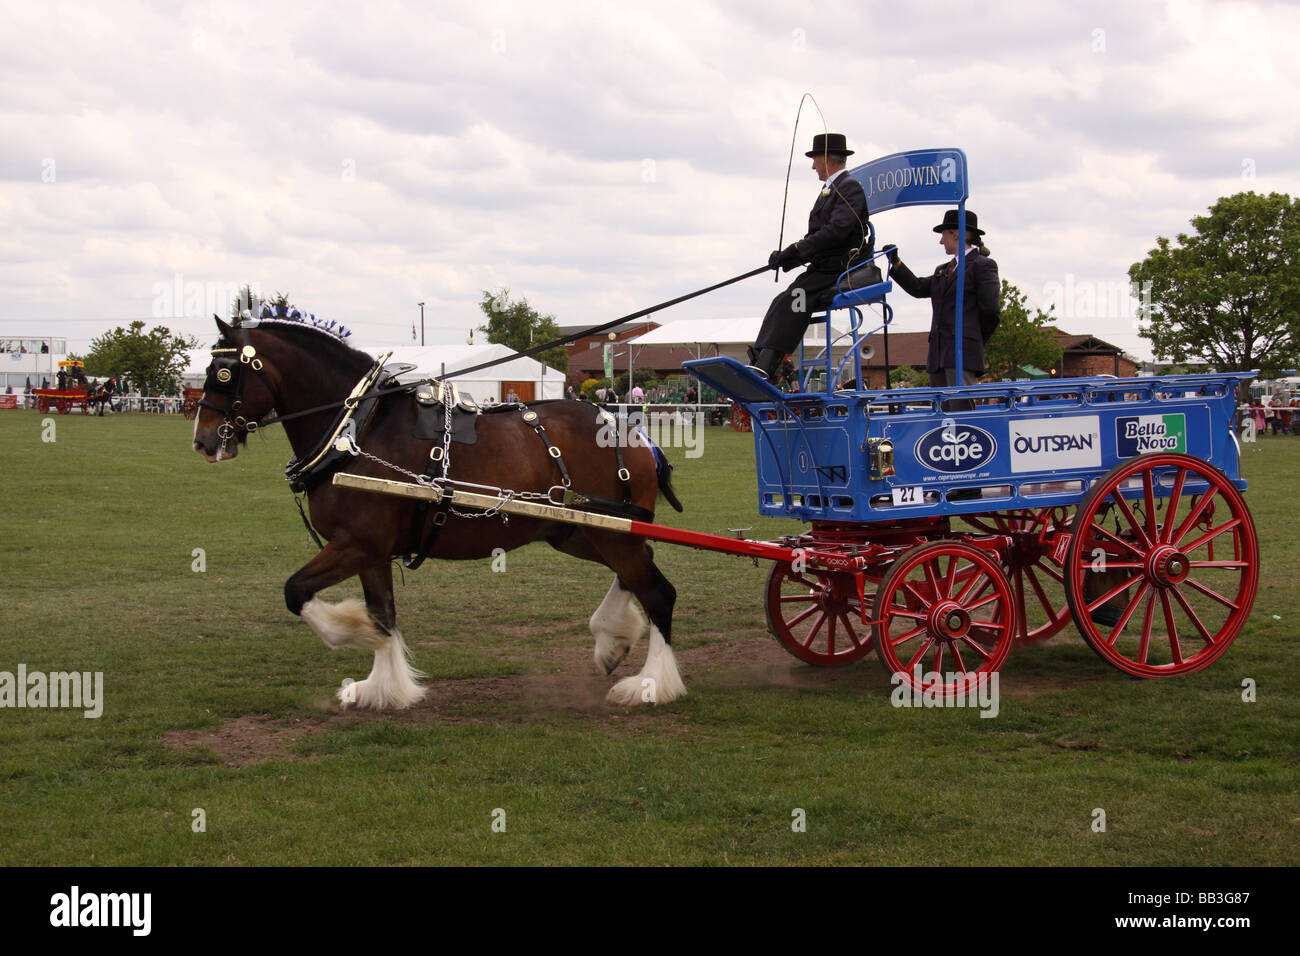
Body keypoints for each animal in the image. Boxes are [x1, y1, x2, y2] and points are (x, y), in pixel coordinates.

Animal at [192, 314, 686, 712]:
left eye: (223, 372)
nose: (203, 441)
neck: (359, 429)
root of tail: (633, 433)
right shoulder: (372, 552)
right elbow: (383, 613)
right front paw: (384, 688)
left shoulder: (357, 543)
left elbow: (297, 592)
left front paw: (356, 633)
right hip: (580, 532)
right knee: (639, 573)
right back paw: (612, 640)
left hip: (610, 534)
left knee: (658, 592)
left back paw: (651, 684)